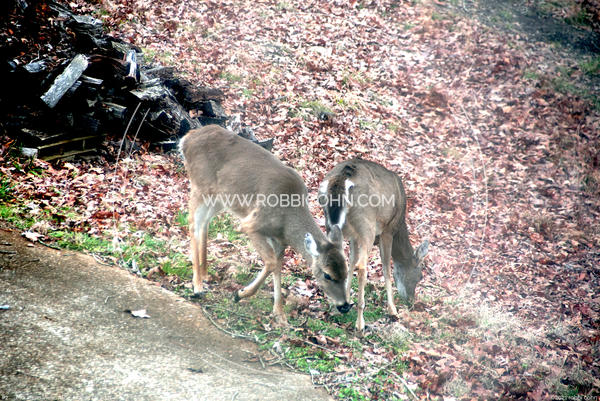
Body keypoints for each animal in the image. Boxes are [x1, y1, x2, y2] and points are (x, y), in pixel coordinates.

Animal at [179, 125, 352, 325]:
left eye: (346, 273)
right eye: (327, 275)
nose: (345, 306)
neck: (287, 220)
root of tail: (187, 139)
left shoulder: (280, 240)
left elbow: (277, 267)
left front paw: (280, 314)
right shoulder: (252, 224)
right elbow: (270, 263)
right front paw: (240, 294)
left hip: (219, 198)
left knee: (205, 222)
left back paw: (205, 273)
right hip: (200, 185)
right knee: (193, 223)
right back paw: (197, 286)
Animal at [319, 159, 429, 331]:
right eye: (420, 276)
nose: (410, 302)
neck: (400, 224)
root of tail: (343, 177)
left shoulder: (353, 236)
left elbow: (350, 263)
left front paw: (345, 300)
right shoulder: (387, 231)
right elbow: (386, 269)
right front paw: (393, 310)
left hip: (331, 223)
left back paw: (333, 307)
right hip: (367, 225)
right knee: (362, 267)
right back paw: (360, 324)